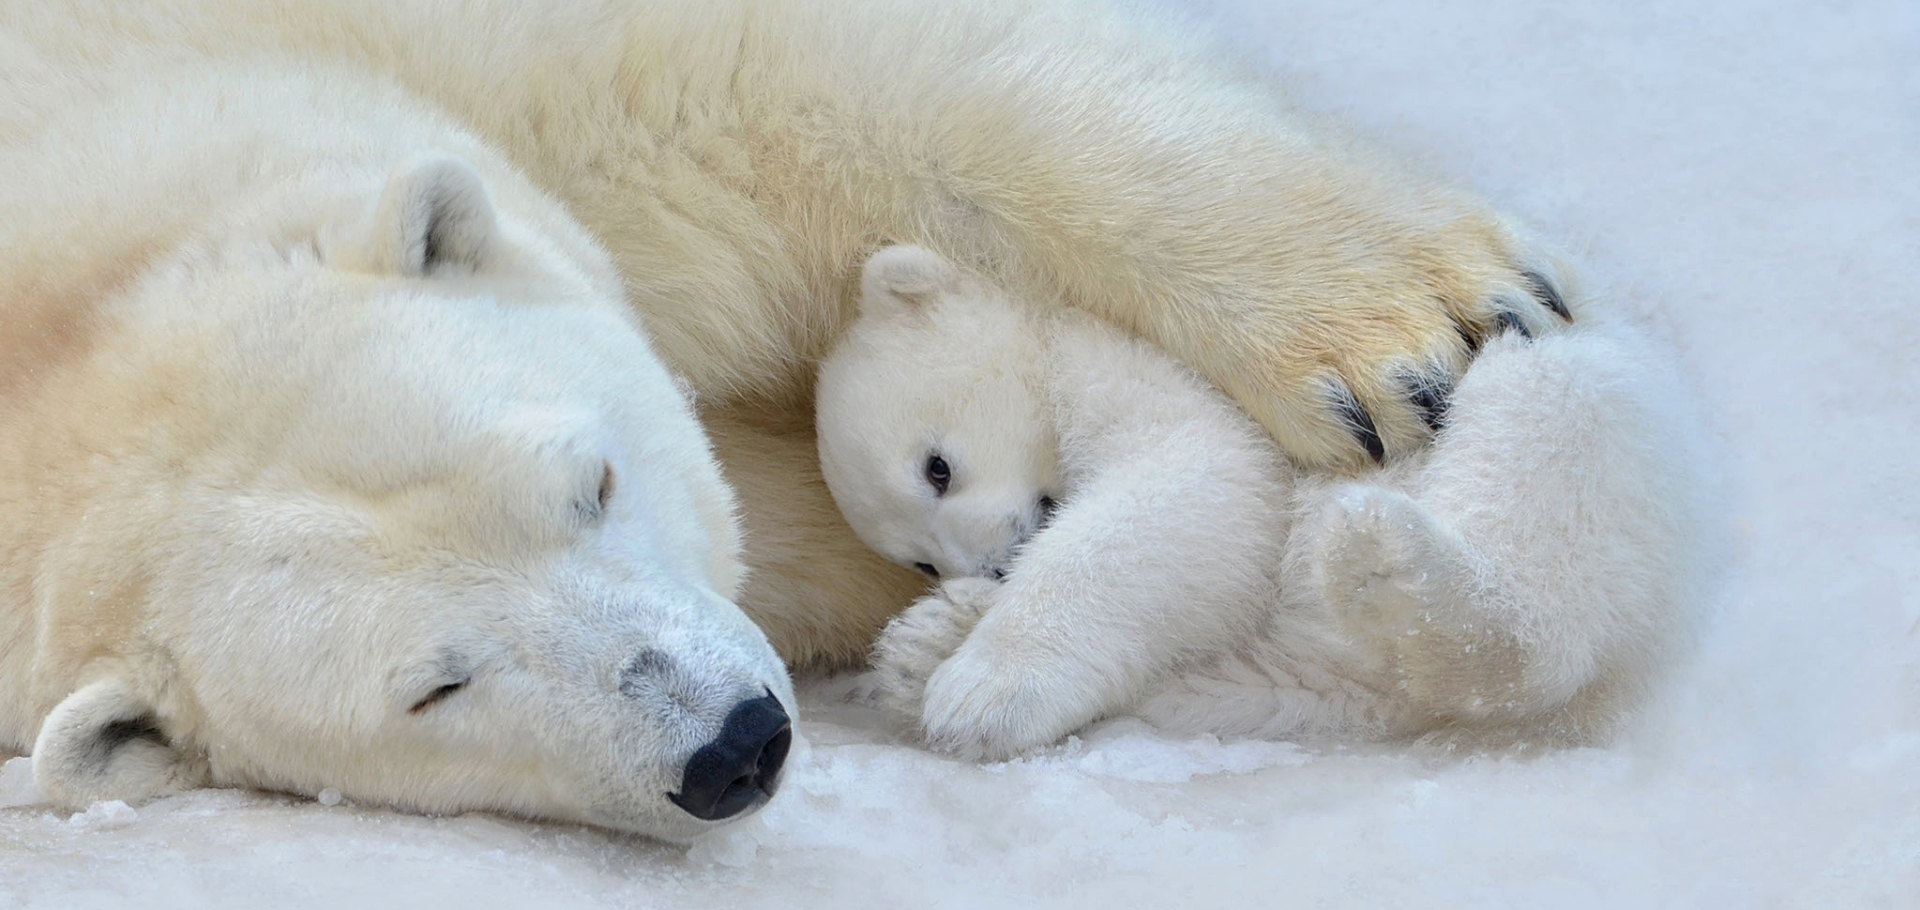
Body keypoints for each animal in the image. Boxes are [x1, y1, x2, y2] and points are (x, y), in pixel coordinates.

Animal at [817, 247, 1710, 760]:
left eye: (937, 468)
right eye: (917, 559)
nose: (995, 565)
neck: (1052, 316)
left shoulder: (1132, 363)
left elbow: (1203, 485)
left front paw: (982, 694)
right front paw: (932, 639)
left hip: (1580, 405)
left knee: (1543, 427)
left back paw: (1390, 562)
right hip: (1310, 683)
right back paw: (921, 649)